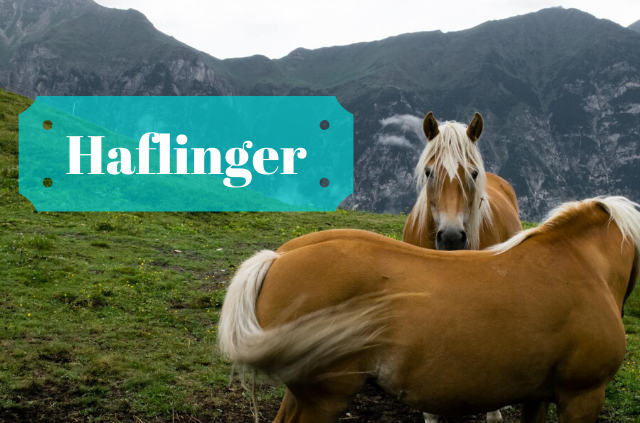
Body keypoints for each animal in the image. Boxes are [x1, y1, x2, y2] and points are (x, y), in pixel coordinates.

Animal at [219, 196, 640, 423]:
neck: (581, 266)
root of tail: (279, 257)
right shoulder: (582, 396)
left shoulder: (535, 396)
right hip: (324, 397)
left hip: (302, 394)